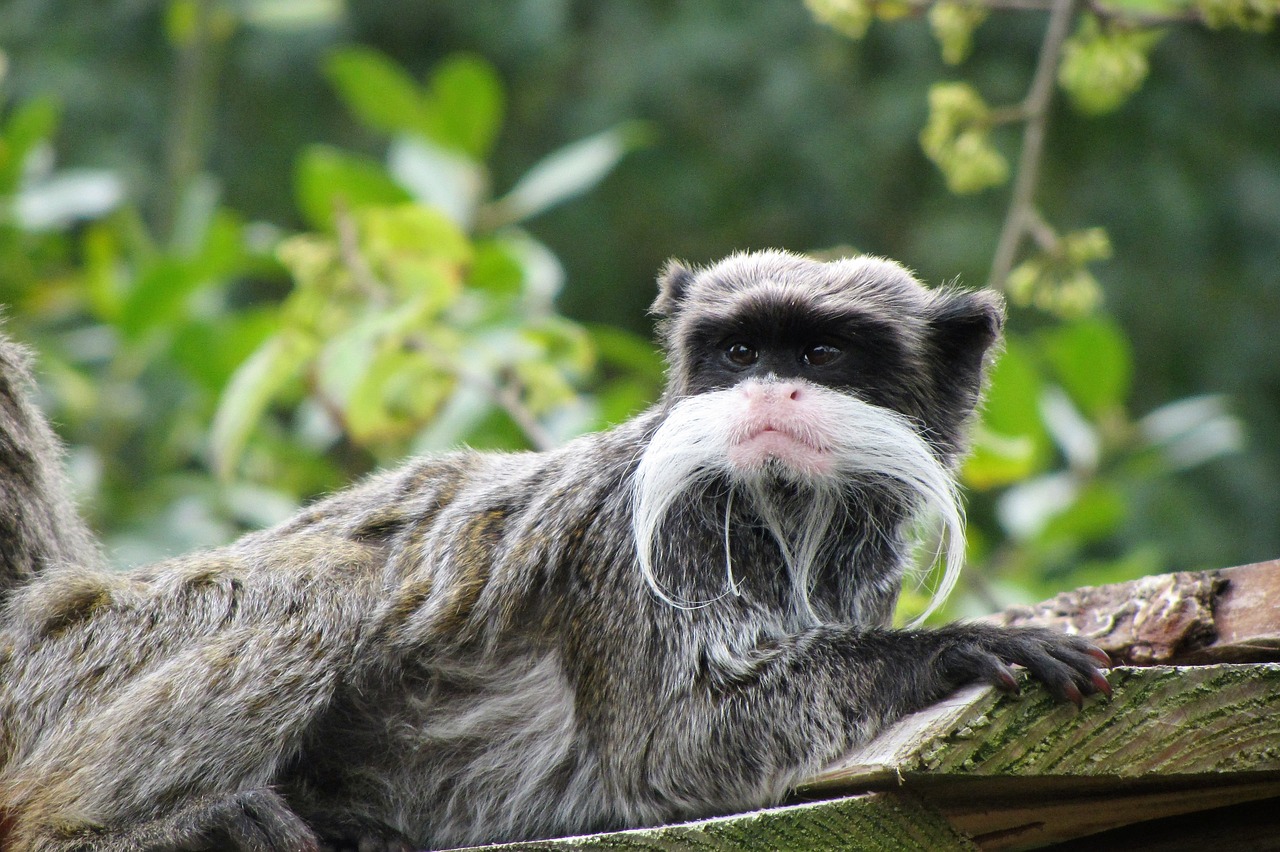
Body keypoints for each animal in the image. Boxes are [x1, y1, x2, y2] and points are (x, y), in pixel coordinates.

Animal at [0, 250, 1111, 849]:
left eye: (821, 353)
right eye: (738, 352)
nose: (766, 391)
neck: (784, 527)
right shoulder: (634, 547)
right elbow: (675, 747)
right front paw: (960, 649)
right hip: (48, 670)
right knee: (325, 587)